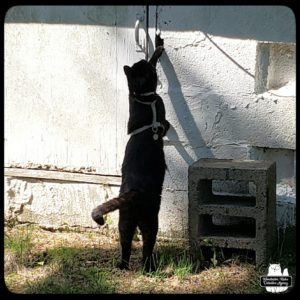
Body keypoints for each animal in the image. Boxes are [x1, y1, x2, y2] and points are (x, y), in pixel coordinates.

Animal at [92, 46, 169, 272]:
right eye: (141, 65)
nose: (141, 59)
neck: (144, 99)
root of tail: (133, 192)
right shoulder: (163, 115)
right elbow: (166, 123)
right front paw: (158, 50)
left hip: (124, 222)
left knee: (125, 244)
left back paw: (122, 266)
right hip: (150, 221)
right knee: (147, 246)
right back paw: (149, 268)